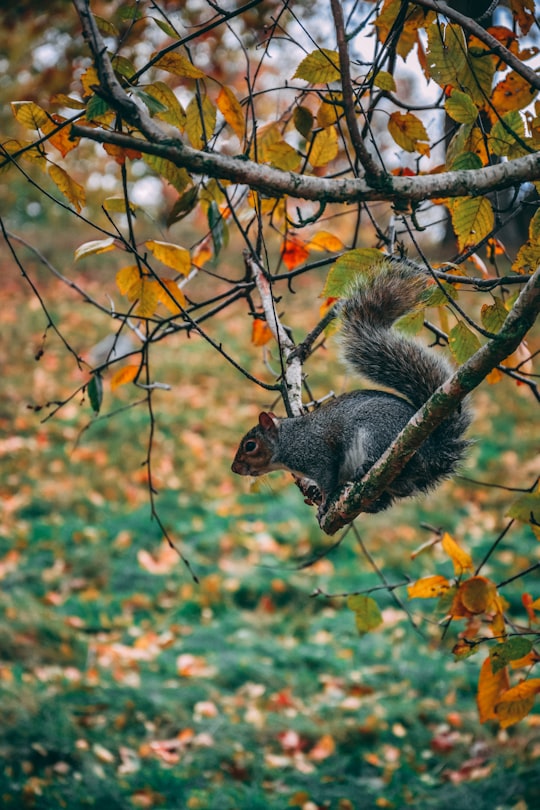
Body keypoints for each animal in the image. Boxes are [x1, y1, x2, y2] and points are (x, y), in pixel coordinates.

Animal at [230, 256, 470, 516]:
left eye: (250, 446)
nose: (234, 468)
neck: (289, 440)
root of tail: (431, 453)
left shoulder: (318, 456)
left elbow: (327, 479)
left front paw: (324, 503)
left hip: (378, 433)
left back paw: (363, 470)